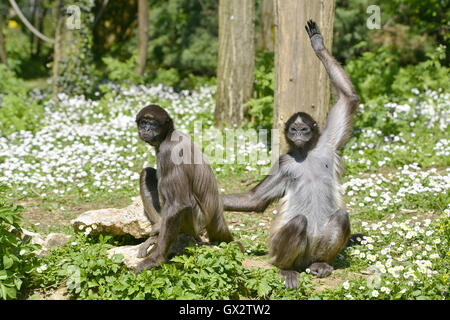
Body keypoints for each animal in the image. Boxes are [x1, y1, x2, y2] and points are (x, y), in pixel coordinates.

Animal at [222, 20, 362, 290]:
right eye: (293, 130)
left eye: (304, 129)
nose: (297, 135)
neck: (305, 154)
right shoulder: (284, 163)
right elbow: (254, 200)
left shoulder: (326, 145)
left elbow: (349, 98)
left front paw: (318, 44)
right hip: (276, 249)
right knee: (298, 222)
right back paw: (286, 268)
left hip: (315, 247)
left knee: (341, 217)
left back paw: (321, 264)